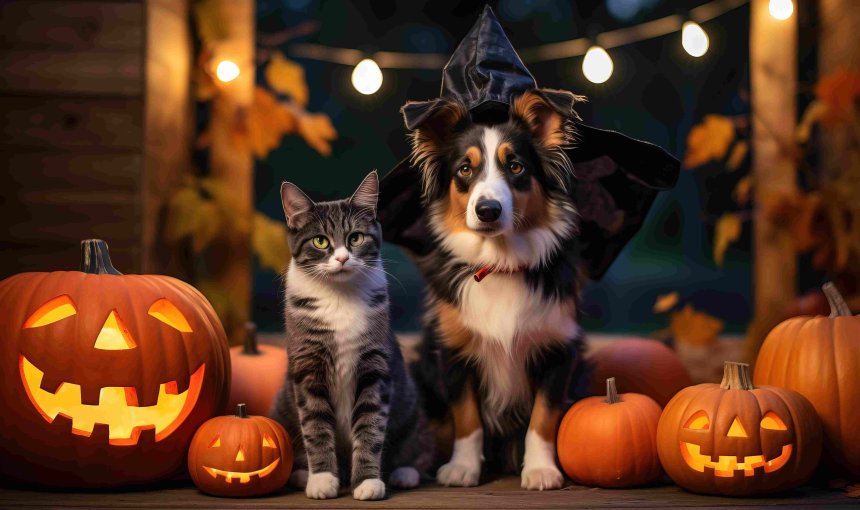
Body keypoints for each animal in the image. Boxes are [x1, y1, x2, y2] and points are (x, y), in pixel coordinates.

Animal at [272, 172, 434, 502]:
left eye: (355, 238)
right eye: (320, 241)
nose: (342, 258)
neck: (340, 296)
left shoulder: (375, 367)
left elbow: (371, 427)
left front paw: (368, 482)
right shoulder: (308, 366)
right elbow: (315, 426)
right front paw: (322, 480)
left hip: (412, 408)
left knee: (417, 448)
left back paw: (404, 473)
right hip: (281, 407)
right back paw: (302, 474)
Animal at [404, 88, 592, 490]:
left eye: (516, 166)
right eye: (464, 169)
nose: (488, 210)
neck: (500, 265)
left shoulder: (559, 349)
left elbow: (543, 417)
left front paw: (540, 470)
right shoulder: (453, 350)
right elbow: (466, 417)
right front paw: (462, 468)